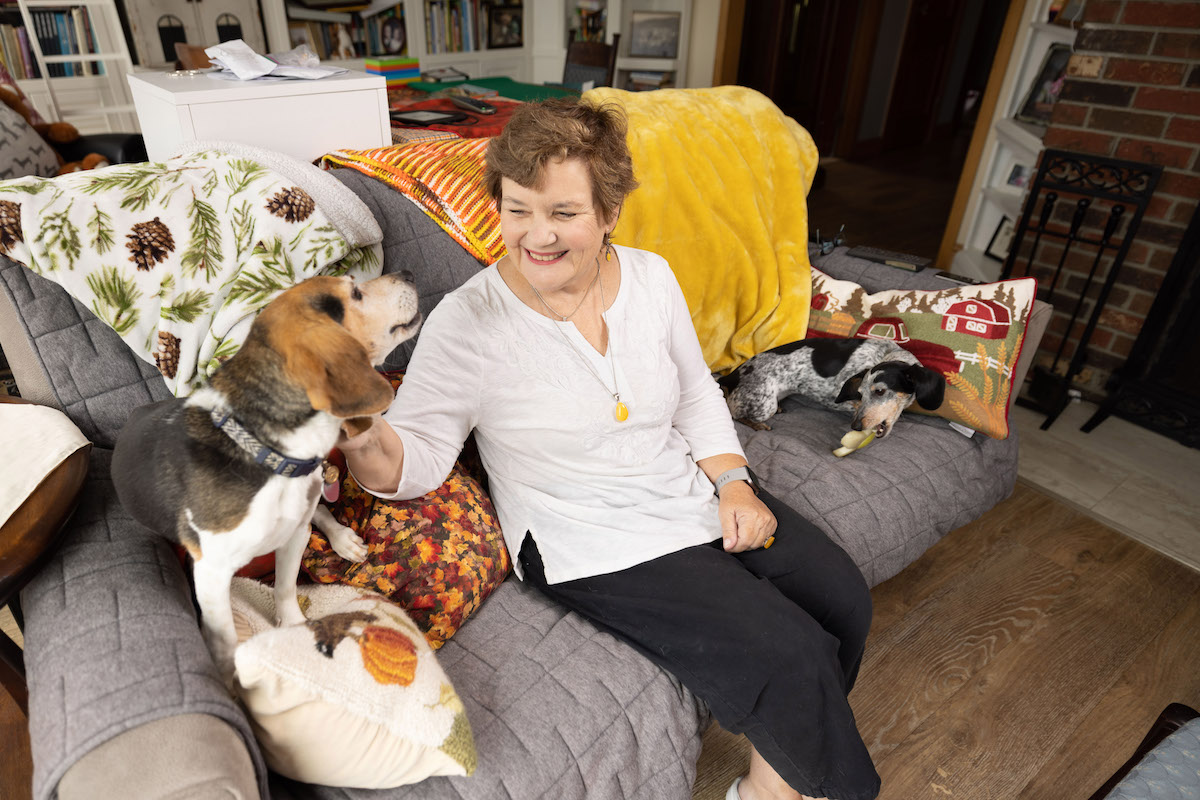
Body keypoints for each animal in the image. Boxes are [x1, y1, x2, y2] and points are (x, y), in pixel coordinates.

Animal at [720, 338, 945, 438]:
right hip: (765, 406)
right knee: (734, 413)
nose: (856, 427)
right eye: (861, 394)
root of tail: (733, 374)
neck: (886, 355)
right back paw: (758, 425)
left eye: (880, 391)